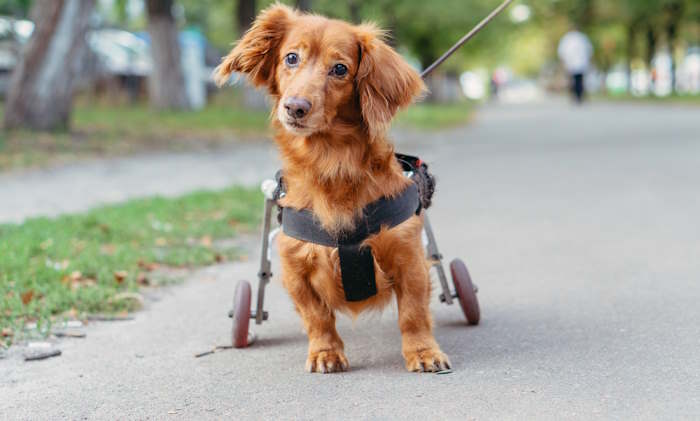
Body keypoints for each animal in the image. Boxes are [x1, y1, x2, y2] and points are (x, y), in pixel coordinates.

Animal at [216, 4, 452, 372]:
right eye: (291, 57)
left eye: (340, 68)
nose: (295, 107)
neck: (332, 164)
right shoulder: (294, 267)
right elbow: (317, 316)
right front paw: (325, 352)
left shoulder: (409, 258)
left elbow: (413, 313)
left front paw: (423, 351)